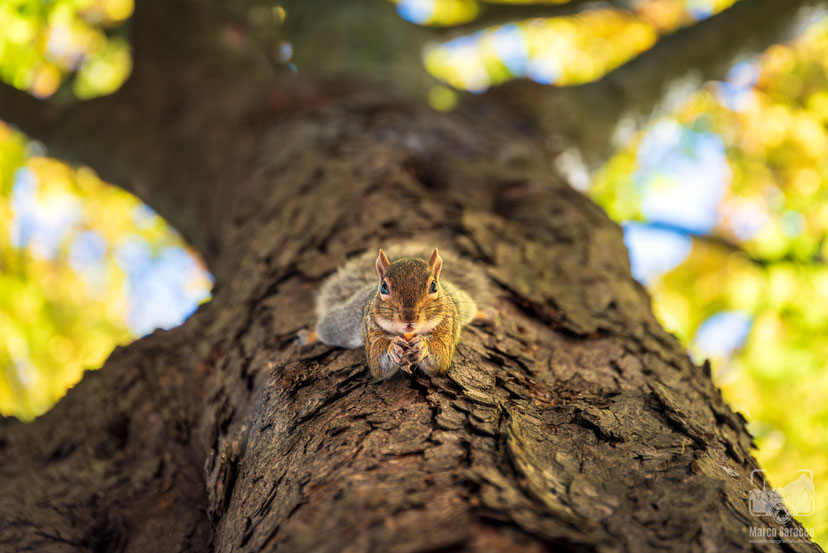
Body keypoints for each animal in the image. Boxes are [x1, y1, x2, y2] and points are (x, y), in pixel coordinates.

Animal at [301, 244, 490, 379]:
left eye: (433, 286)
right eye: (384, 287)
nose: (409, 318)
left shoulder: (447, 325)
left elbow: (441, 361)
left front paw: (422, 346)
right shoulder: (371, 328)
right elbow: (377, 365)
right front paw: (394, 348)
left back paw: (485, 314)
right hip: (342, 324)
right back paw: (309, 337)